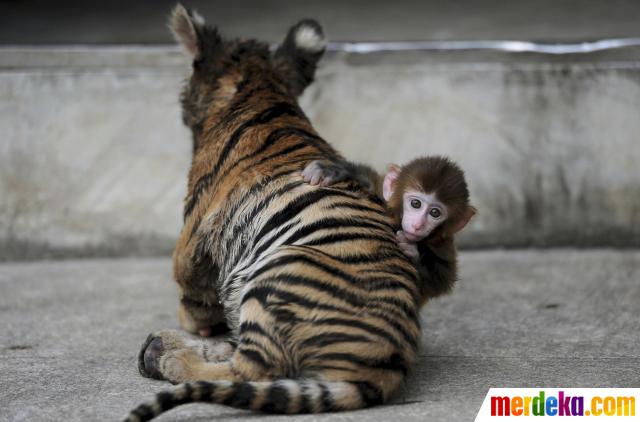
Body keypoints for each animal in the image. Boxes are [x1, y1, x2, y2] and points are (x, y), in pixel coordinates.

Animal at [304, 157, 476, 302]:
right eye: (416, 204)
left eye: (435, 213)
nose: (418, 225)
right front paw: (333, 170)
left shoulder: (443, 246)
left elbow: (438, 283)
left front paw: (412, 251)